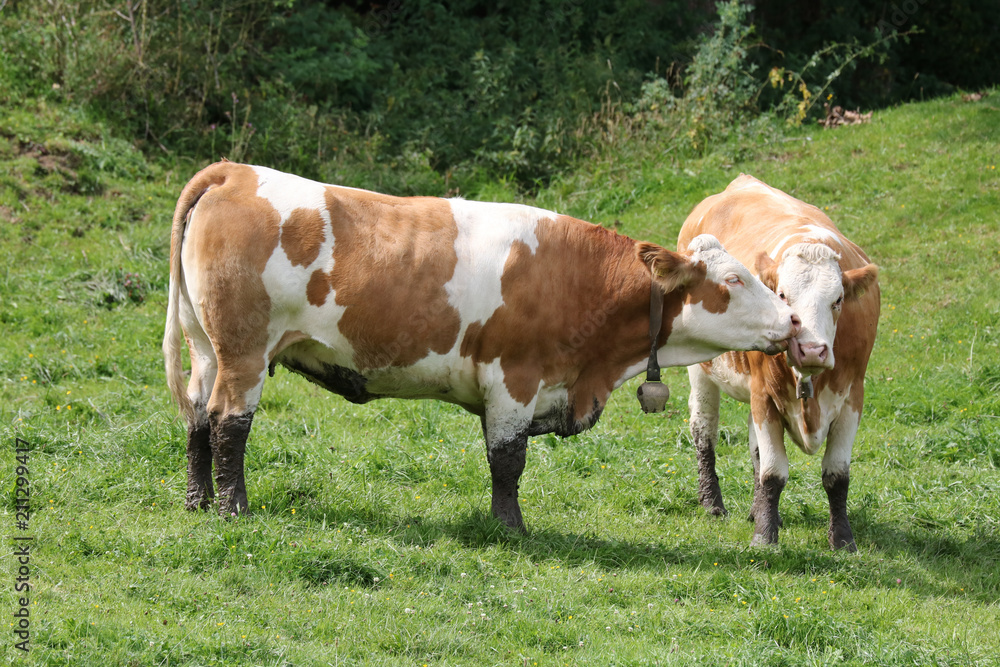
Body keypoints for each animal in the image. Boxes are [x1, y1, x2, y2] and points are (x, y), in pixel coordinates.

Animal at [164, 163, 800, 532]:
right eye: (735, 279)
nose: (792, 319)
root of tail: (233, 171)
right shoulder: (513, 379)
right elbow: (508, 460)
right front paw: (510, 527)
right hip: (245, 353)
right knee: (228, 424)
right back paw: (234, 508)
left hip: (207, 349)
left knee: (196, 416)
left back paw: (198, 502)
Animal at [676, 175, 880, 552]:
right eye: (782, 295)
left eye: (838, 300)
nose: (811, 350)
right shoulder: (764, 396)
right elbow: (773, 473)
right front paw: (765, 536)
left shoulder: (852, 398)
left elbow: (836, 475)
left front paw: (843, 539)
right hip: (702, 371)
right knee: (703, 430)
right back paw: (712, 502)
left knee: (754, 448)